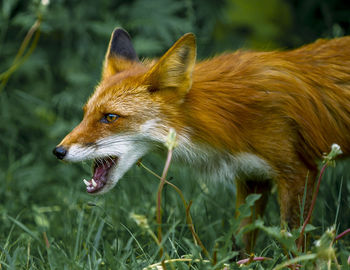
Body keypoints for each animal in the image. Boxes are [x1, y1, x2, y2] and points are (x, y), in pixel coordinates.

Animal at [53, 28, 350, 252]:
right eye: (85, 114)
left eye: (110, 117)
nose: (58, 151)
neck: (228, 116)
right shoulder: (252, 176)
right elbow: (242, 243)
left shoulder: (299, 172)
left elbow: (294, 243)